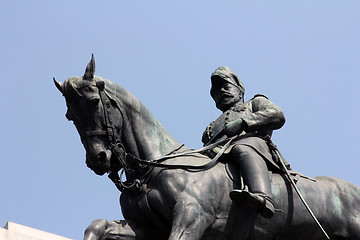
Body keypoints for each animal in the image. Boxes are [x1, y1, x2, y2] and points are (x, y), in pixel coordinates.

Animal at [54, 55, 360, 239]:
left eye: (94, 102)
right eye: (69, 115)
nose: (98, 158)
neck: (151, 172)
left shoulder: (191, 219)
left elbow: (275, 113)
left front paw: (235, 126)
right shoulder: (145, 229)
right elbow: (98, 225)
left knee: (246, 148)